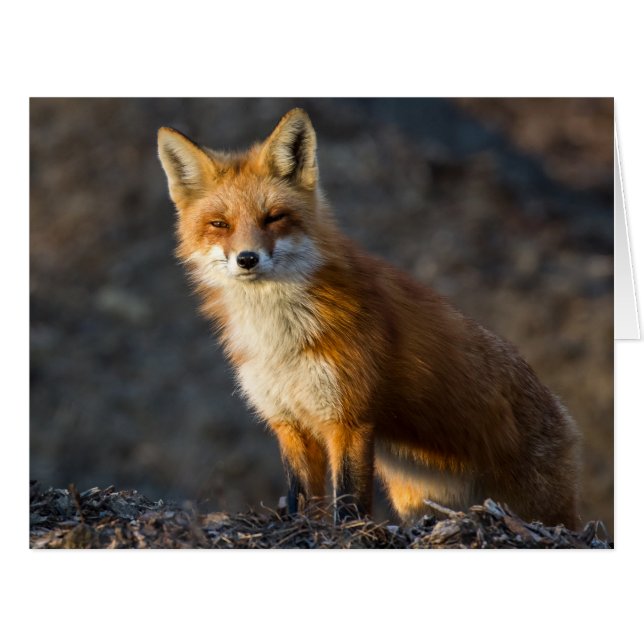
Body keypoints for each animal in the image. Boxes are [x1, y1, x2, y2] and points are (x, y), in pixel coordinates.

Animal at [157, 107, 581, 528]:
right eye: (219, 224)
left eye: (274, 218)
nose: (247, 259)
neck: (281, 336)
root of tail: (563, 414)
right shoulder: (289, 422)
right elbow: (300, 501)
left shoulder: (349, 418)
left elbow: (349, 503)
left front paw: (349, 533)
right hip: (418, 498)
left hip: (541, 508)